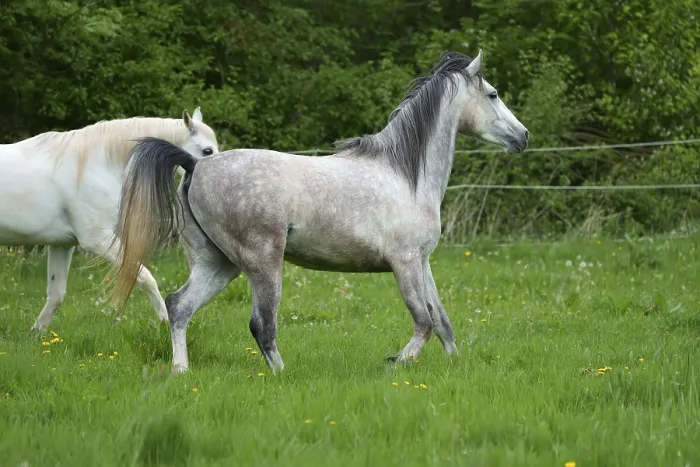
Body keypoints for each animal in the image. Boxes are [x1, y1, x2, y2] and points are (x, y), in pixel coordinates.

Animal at [0, 108, 219, 332]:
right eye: (207, 151)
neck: (91, 166)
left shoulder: (62, 245)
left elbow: (56, 294)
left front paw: (38, 331)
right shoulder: (98, 241)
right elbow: (145, 277)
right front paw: (165, 320)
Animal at [110, 50, 529, 373]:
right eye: (492, 94)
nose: (523, 136)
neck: (404, 174)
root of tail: (195, 165)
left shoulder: (422, 262)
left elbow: (442, 322)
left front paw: (456, 365)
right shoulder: (405, 262)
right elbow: (423, 322)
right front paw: (396, 362)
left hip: (219, 263)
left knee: (179, 306)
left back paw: (181, 371)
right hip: (263, 262)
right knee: (261, 324)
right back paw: (282, 374)